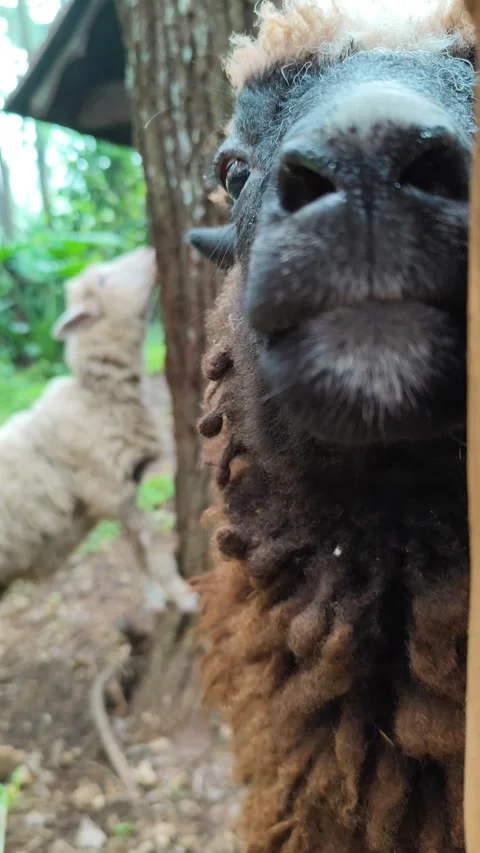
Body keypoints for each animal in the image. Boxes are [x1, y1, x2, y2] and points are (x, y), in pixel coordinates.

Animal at [0, 246, 197, 613]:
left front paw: (155, 596)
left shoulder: (125, 493)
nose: (150, 250)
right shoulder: (109, 491)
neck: (100, 397)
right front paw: (182, 595)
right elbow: (153, 544)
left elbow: (139, 549)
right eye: (103, 280)